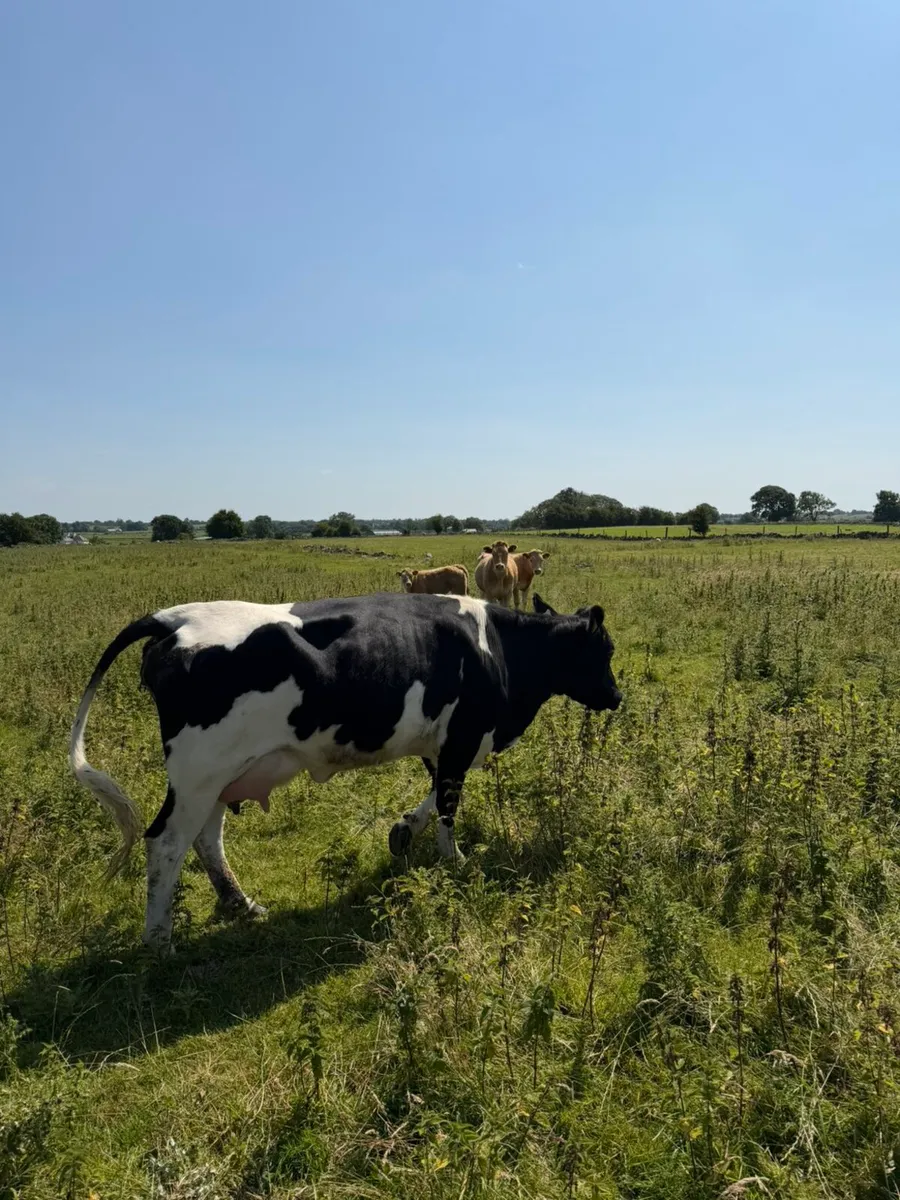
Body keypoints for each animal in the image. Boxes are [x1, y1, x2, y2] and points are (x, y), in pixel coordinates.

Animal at [69, 592, 621, 950]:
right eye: (605, 650)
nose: (617, 697)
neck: (499, 649)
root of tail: (173, 618)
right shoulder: (462, 738)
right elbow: (448, 803)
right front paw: (455, 862)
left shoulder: (440, 742)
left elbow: (431, 795)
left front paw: (403, 831)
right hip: (199, 771)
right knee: (166, 843)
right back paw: (159, 941)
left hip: (221, 775)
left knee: (206, 838)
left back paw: (240, 904)